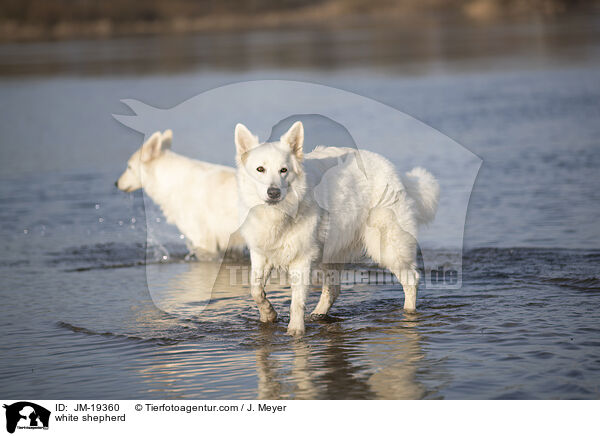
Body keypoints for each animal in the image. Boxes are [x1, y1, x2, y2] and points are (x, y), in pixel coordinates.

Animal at [236, 121, 440, 336]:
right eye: (260, 169)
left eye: (284, 170)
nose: (273, 192)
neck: (280, 213)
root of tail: (394, 172)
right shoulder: (260, 254)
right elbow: (256, 290)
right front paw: (269, 314)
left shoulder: (302, 259)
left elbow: (296, 303)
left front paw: (295, 332)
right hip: (333, 252)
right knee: (333, 290)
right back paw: (317, 315)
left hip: (387, 248)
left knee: (412, 279)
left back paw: (409, 313)